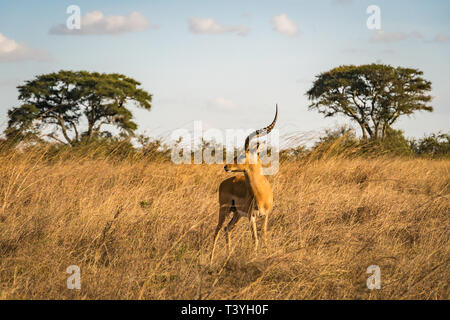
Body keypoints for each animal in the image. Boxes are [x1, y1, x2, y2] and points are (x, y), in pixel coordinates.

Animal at [211, 104, 278, 264]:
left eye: (242, 155)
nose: (226, 166)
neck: (261, 194)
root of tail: (224, 182)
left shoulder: (265, 216)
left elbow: (264, 237)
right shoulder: (251, 217)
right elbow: (255, 240)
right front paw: (254, 258)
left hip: (236, 214)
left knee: (227, 229)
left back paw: (228, 256)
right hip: (224, 210)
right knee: (217, 230)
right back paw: (210, 260)